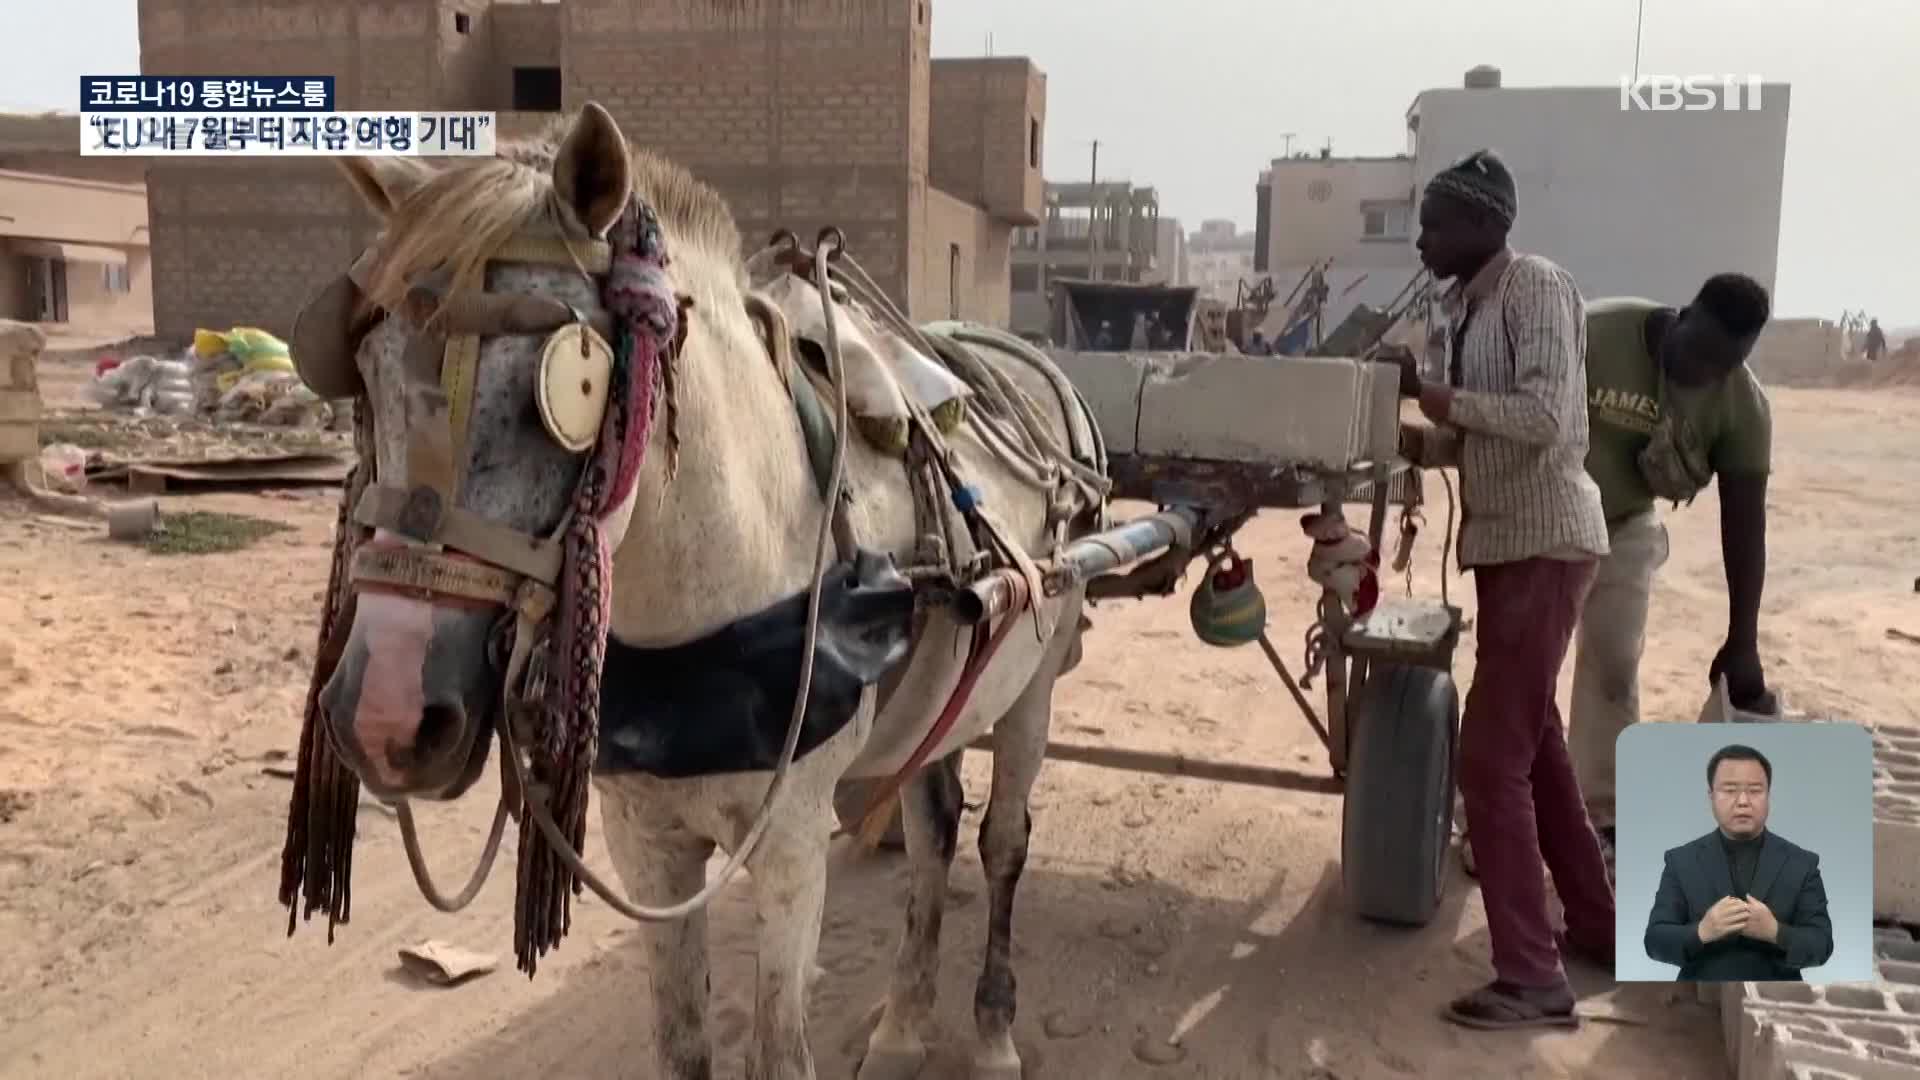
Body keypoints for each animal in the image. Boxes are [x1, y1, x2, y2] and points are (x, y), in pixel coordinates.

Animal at [307, 102, 1105, 1076]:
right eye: (364, 375)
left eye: (572, 382)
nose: (386, 717)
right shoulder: (646, 843)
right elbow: (682, 1042)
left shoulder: (794, 847)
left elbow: (780, 1051)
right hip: (947, 690)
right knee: (933, 829)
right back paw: (902, 1023)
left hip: (1033, 684)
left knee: (1000, 845)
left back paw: (991, 1032)